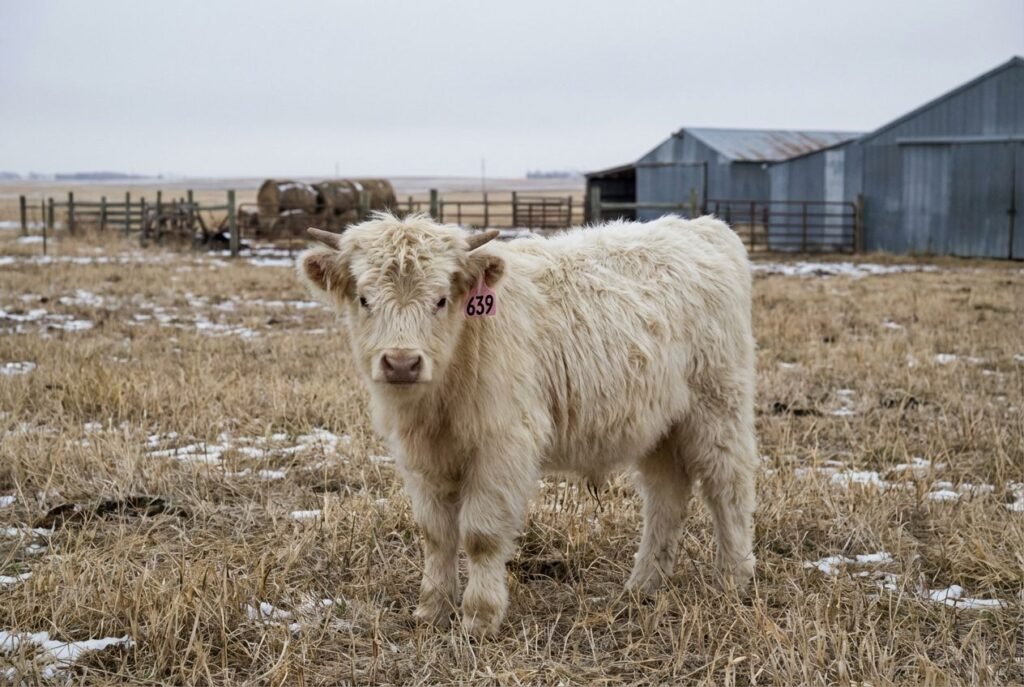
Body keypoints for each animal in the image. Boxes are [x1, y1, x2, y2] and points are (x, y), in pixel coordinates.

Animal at [298, 212, 758, 637]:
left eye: (441, 299)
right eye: (364, 299)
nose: (401, 362)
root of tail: (700, 226)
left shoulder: (502, 446)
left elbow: (480, 534)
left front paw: (479, 618)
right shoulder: (422, 457)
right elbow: (435, 534)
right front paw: (432, 610)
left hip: (719, 408)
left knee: (728, 489)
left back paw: (733, 579)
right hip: (660, 427)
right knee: (666, 496)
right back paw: (644, 585)